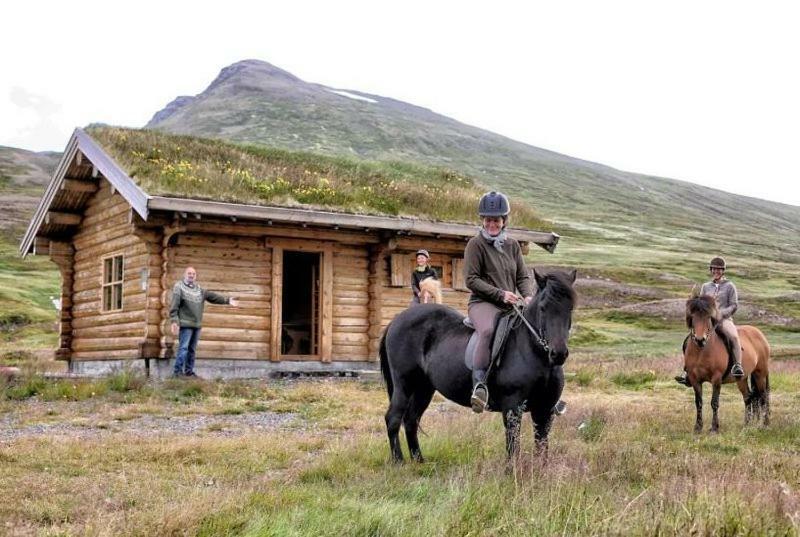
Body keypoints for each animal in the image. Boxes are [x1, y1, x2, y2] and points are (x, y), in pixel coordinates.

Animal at [380, 270, 576, 462]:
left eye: (570, 308)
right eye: (543, 308)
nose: (558, 354)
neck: (534, 353)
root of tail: (397, 320)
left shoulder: (544, 409)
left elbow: (542, 448)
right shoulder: (513, 407)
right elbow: (513, 446)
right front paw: (512, 470)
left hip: (424, 388)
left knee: (411, 419)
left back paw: (419, 461)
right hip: (404, 385)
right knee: (393, 419)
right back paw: (399, 461)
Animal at [680, 294, 768, 432]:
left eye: (708, 317)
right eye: (693, 317)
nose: (700, 340)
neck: (701, 351)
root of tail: (758, 333)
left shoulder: (716, 378)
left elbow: (714, 402)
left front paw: (714, 428)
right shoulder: (695, 379)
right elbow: (698, 402)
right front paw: (698, 427)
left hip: (760, 374)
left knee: (764, 397)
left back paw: (764, 424)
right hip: (742, 378)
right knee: (748, 397)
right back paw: (747, 424)